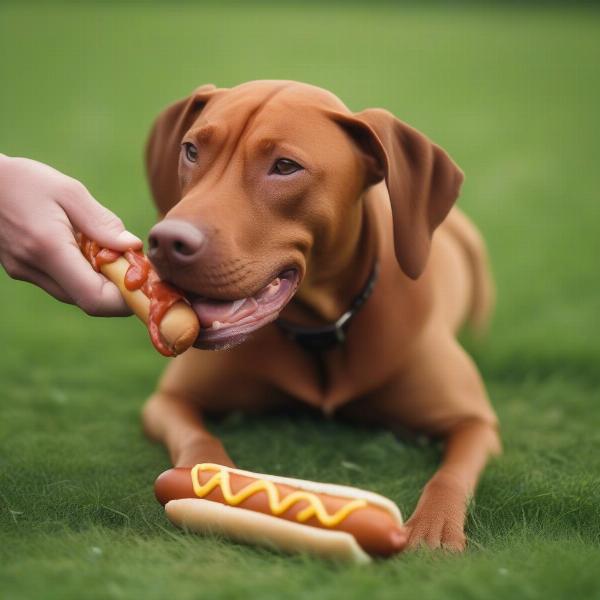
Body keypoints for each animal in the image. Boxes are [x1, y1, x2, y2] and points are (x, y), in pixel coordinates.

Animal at [139, 81, 496, 552]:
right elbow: (199, 438)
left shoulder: (476, 424)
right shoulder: (168, 401)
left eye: (285, 167)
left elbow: (450, 475)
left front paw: (433, 530)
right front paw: (210, 485)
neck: (320, 331)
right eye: (192, 150)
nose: (165, 241)